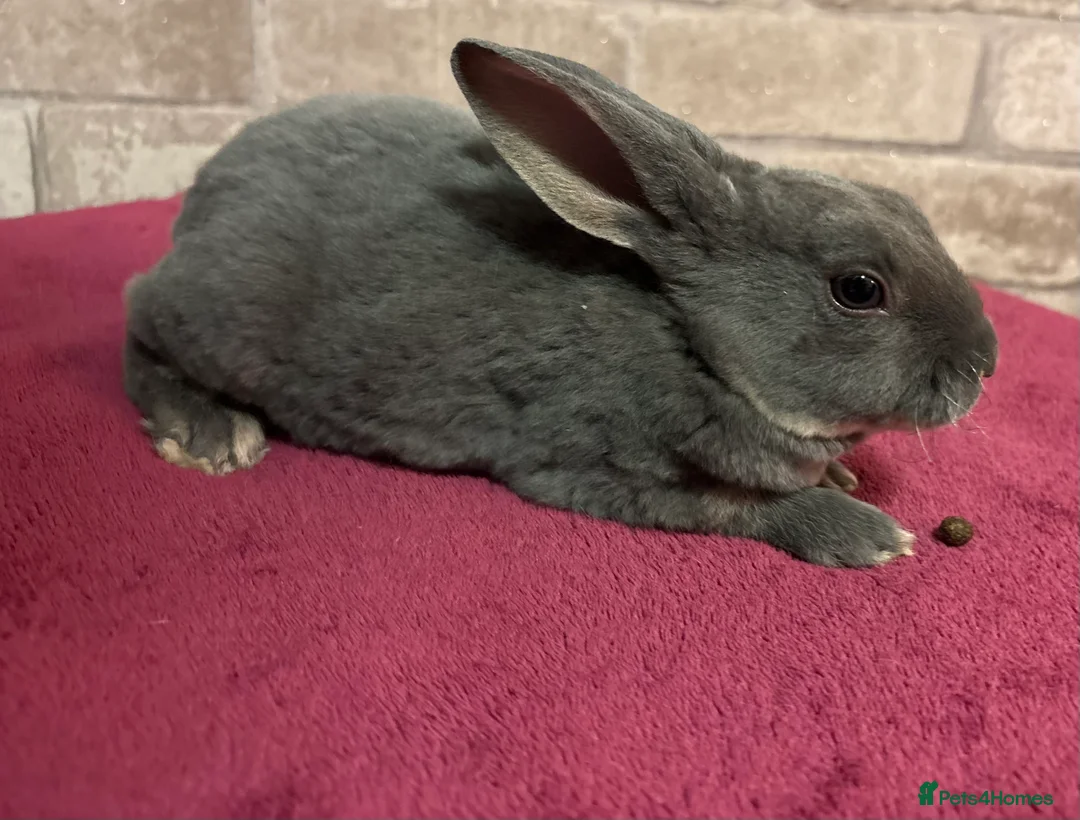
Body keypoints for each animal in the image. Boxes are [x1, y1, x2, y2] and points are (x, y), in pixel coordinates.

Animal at [122, 38, 998, 568]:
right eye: (859, 289)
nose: (986, 363)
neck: (694, 344)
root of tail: (206, 189)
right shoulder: (596, 470)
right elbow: (742, 512)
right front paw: (866, 534)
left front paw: (845, 480)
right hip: (218, 319)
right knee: (138, 324)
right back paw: (209, 434)